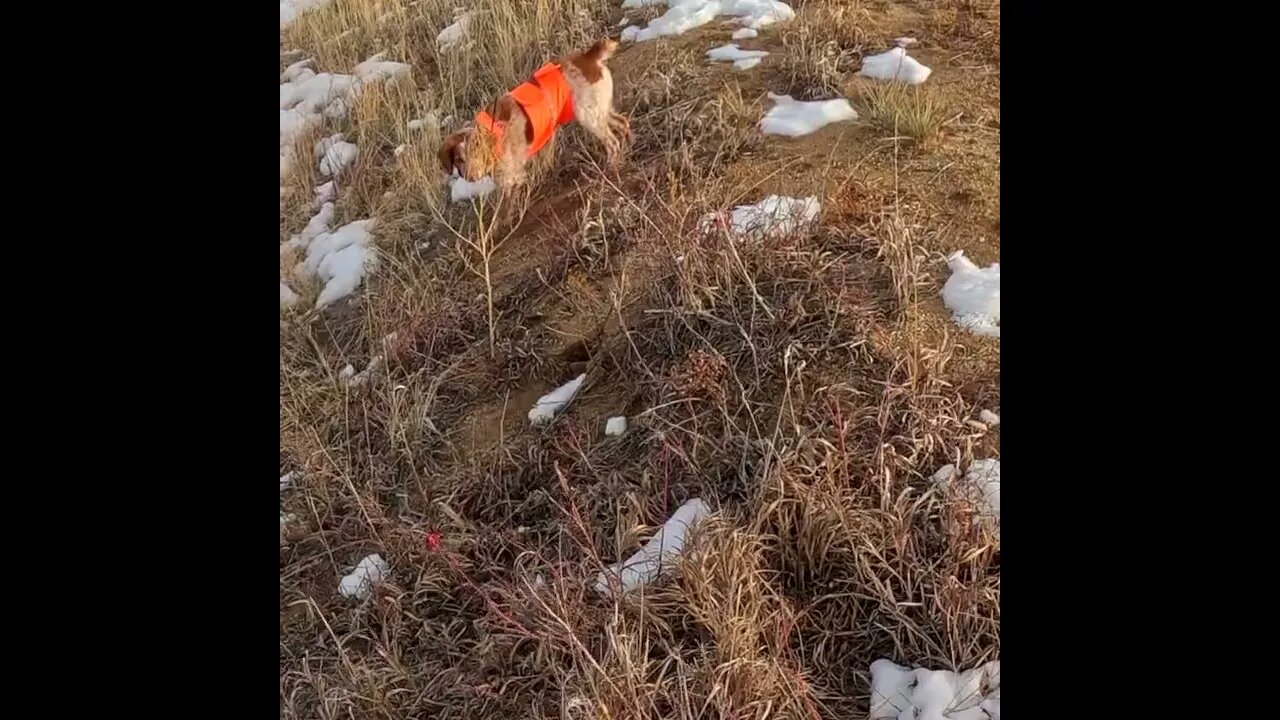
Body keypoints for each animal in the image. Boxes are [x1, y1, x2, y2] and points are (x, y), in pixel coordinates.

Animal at [437, 38, 632, 190]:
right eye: (459, 159)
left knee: (612, 142)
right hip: (600, 110)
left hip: (588, 116)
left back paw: (611, 168)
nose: (471, 176)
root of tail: (588, 56)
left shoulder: (512, 175)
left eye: (476, 152)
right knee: (623, 122)